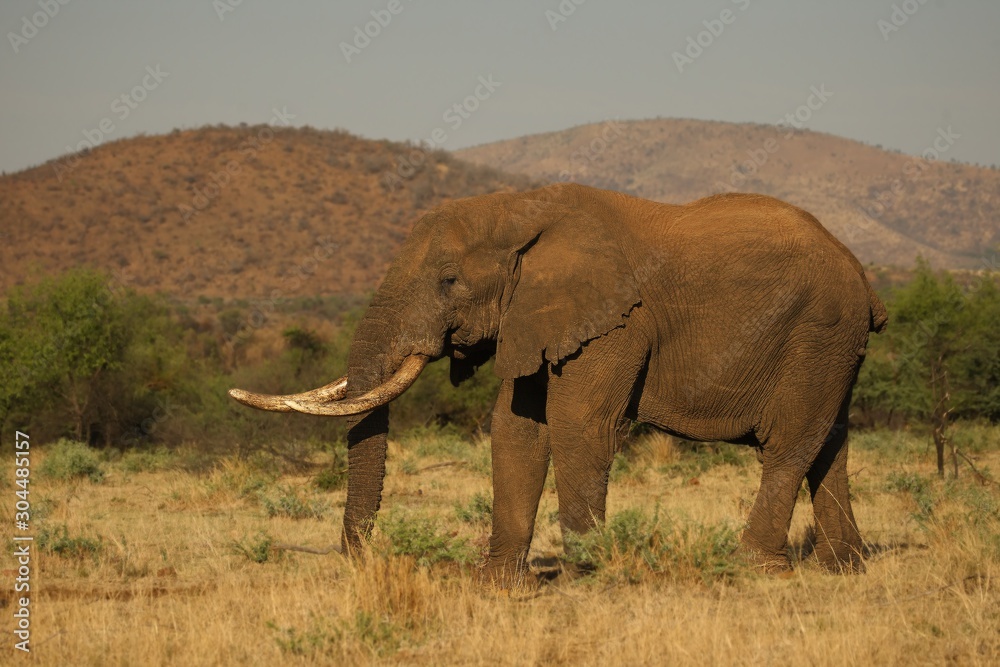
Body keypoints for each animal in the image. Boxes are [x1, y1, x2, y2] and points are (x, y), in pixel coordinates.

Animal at [230, 182, 887, 581]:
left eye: (448, 281)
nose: (355, 561)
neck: (521, 208)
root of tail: (862, 273)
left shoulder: (615, 324)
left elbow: (577, 425)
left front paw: (588, 575)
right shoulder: (532, 316)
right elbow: (516, 429)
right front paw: (497, 583)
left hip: (820, 331)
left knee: (789, 443)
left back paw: (753, 568)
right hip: (836, 345)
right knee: (830, 441)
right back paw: (845, 567)